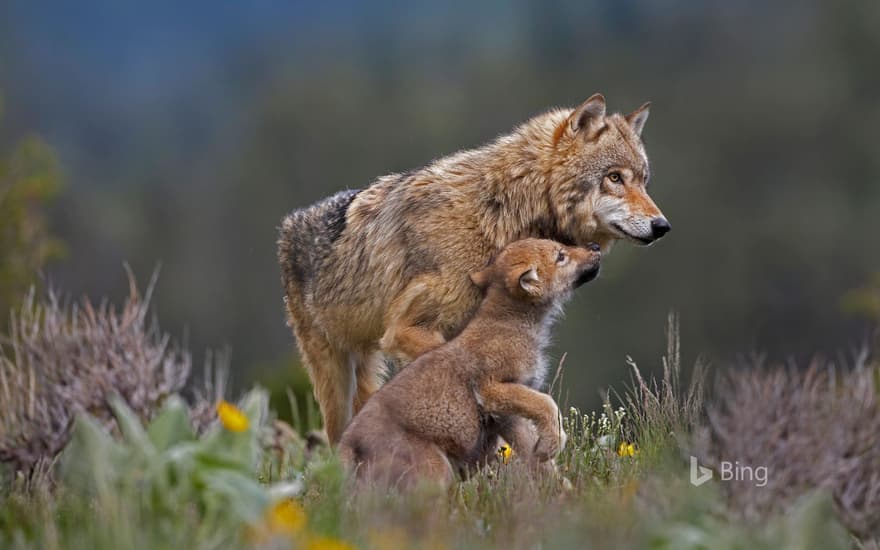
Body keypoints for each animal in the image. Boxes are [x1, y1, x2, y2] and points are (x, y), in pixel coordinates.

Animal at [278, 91, 672, 444]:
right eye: (615, 177)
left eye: (643, 181)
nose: (662, 226)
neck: (496, 213)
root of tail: (290, 221)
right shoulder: (406, 330)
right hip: (332, 377)